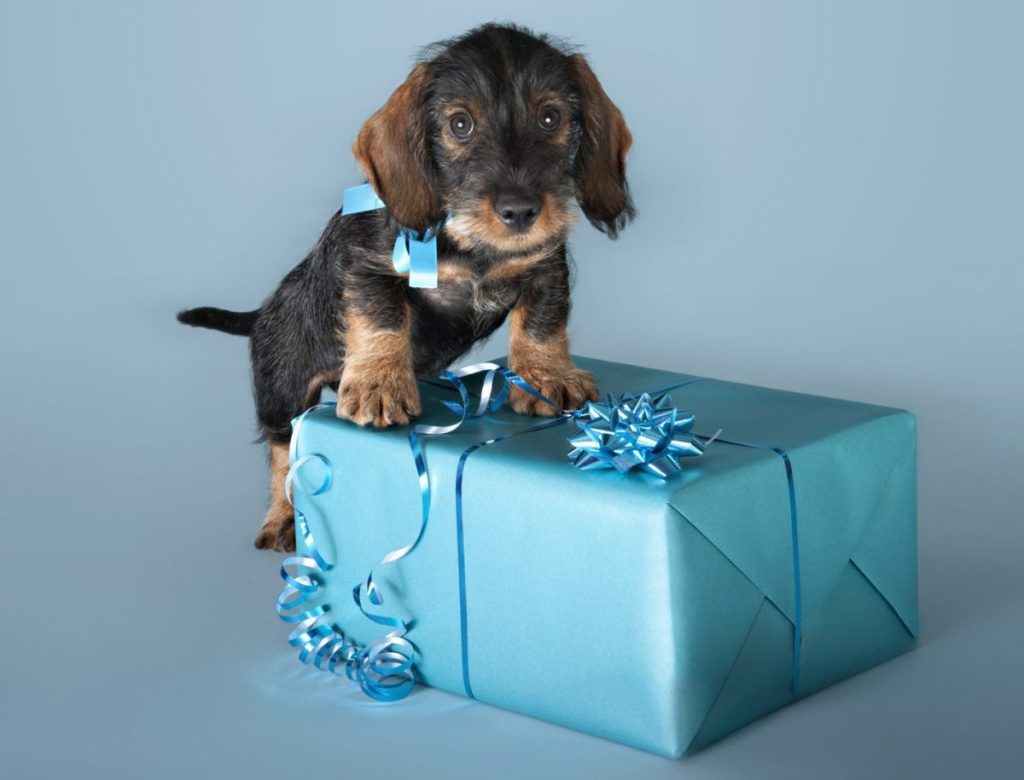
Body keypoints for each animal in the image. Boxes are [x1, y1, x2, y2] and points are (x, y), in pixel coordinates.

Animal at [180, 22, 634, 548]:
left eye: (549, 117)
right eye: (460, 124)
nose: (519, 211)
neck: (467, 241)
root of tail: (263, 311)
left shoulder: (546, 269)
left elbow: (542, 324)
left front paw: (545, 376)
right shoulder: (368, 267)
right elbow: (382, 320)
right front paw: (379, 382)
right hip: (283, 387)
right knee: (284, 448)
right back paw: (282, 518)